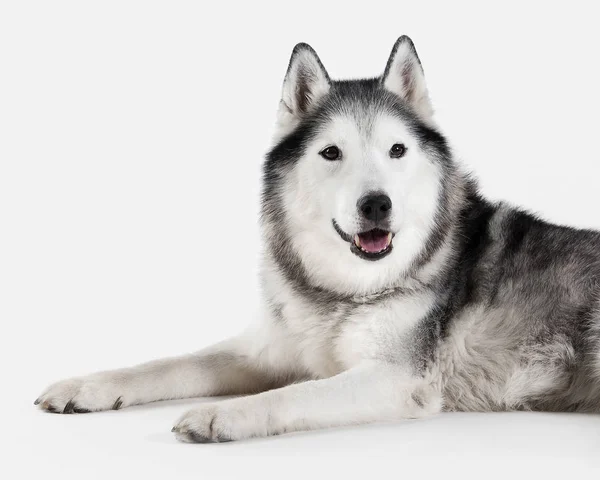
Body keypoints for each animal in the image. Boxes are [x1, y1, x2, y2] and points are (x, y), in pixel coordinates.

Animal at [35, 36, 600, 442]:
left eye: (397, 150)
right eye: (332, 152)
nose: (376, 204)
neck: (346, 292)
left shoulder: (396, 380)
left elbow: (296, 394)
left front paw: (223, 415)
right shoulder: (265, 352)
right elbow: (167, 364)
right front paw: (87, 386)